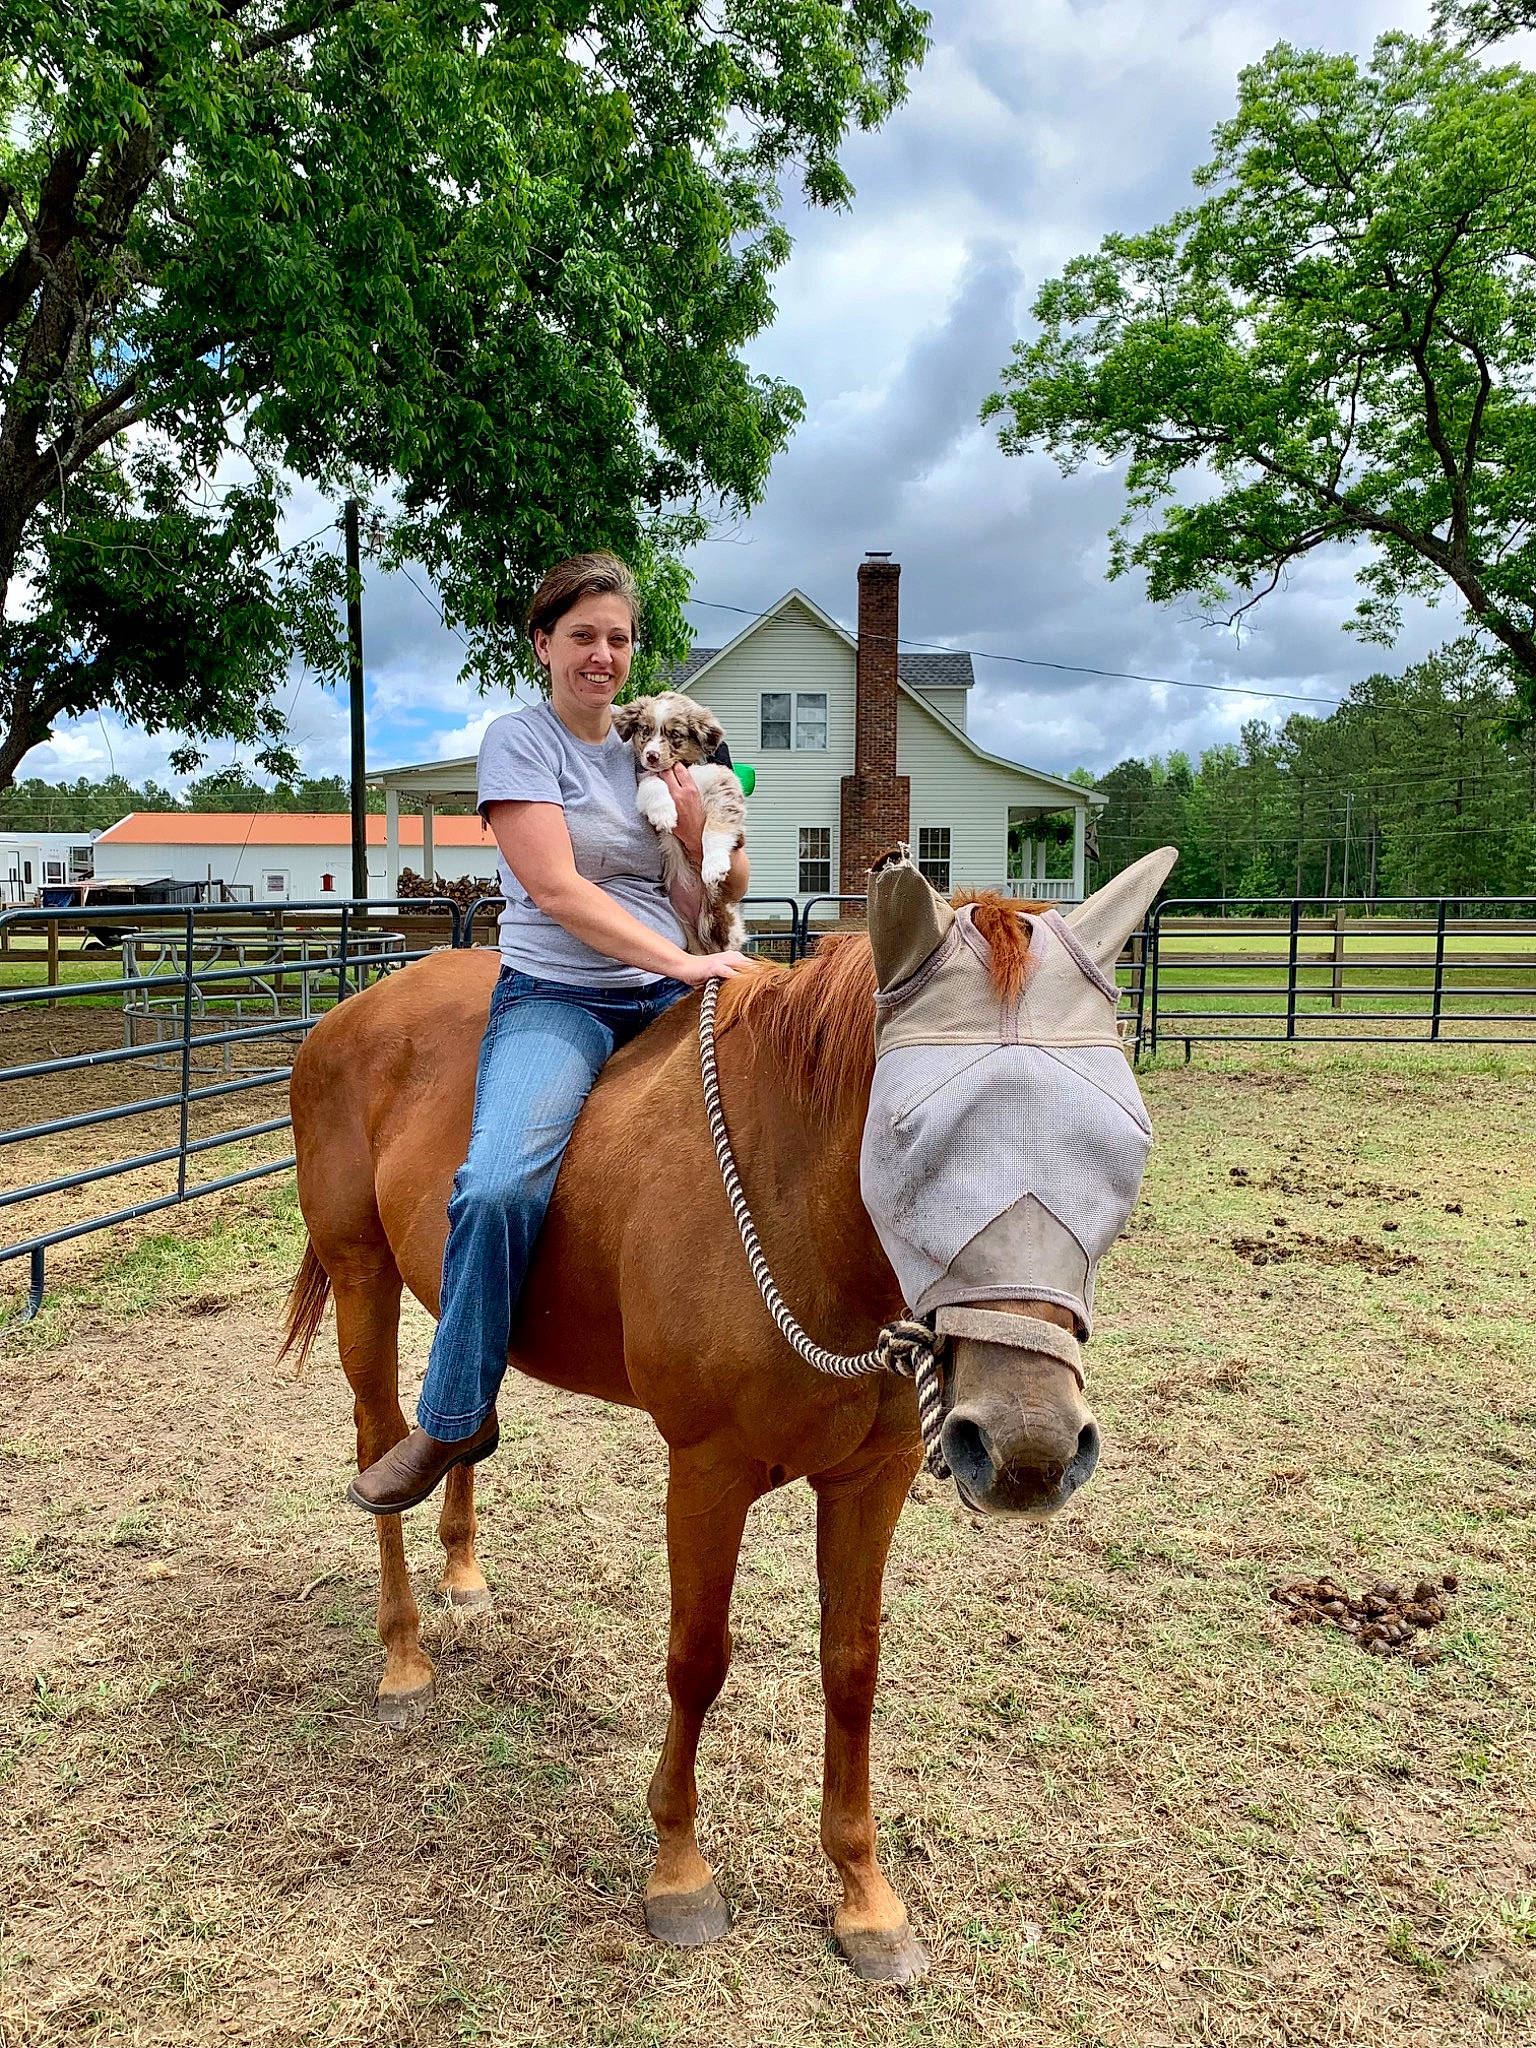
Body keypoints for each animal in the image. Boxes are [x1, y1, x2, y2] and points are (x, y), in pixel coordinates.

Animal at [280, 847, 1173, 1982]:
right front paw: (680, 1873)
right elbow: (698, 1659)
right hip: (363, 1279)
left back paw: (465, 1574)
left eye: (1124, 1138)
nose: (1026, 1447)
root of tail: (349, 1017)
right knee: (379, 1444)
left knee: (461, 1420)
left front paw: (864, 1897)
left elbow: (852, 1667)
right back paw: (402, 1654)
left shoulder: (872, 1476)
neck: (802, 1214)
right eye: (908, 1134)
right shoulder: (705, 1471)